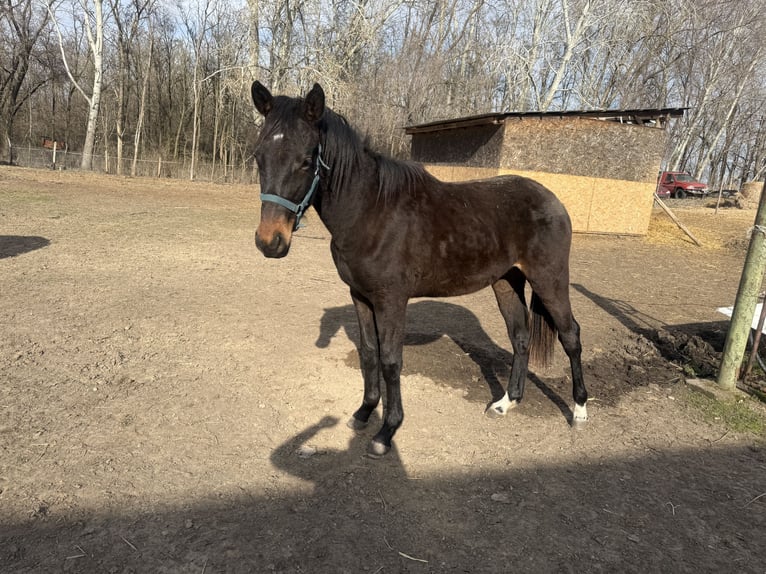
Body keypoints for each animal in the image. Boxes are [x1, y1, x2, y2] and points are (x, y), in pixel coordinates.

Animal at [250, 81, 588, 457]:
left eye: (306, 161)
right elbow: (369, 354)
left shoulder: (391, 301)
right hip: (506, 280)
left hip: (549, 278)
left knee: (570, 335)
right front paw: (364, 412)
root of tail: (552, 200)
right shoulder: (360, 296)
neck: (370, 211)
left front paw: (386, 432)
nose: (270, 242)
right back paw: (506, 403)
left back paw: (579, 411)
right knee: (520, 337)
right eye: (258, 156)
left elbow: (390, 361)